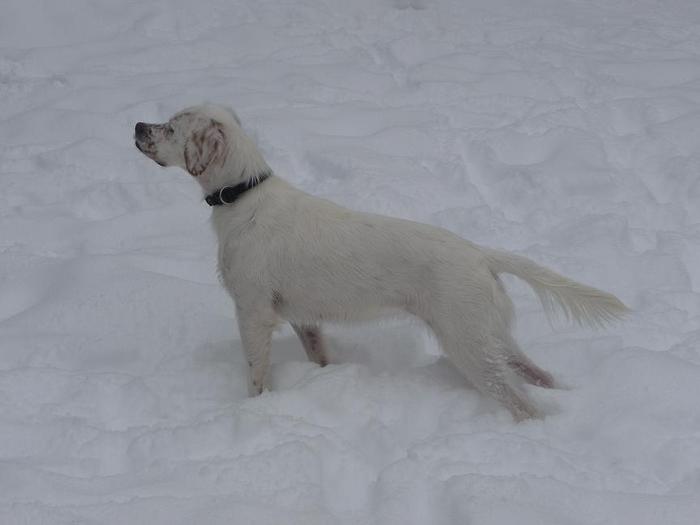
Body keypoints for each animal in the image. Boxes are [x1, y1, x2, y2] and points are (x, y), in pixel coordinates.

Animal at [134, 104, 628, 420]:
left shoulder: (252, 312)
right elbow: (320, 356)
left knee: (524, 403)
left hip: (469, 344)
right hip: (491, 336)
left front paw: (252, 411)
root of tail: (480, 253)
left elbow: (257, 376)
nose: (138, 125)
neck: (243, 196)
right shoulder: (304, 318)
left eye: (172, 127)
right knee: (540, 376)